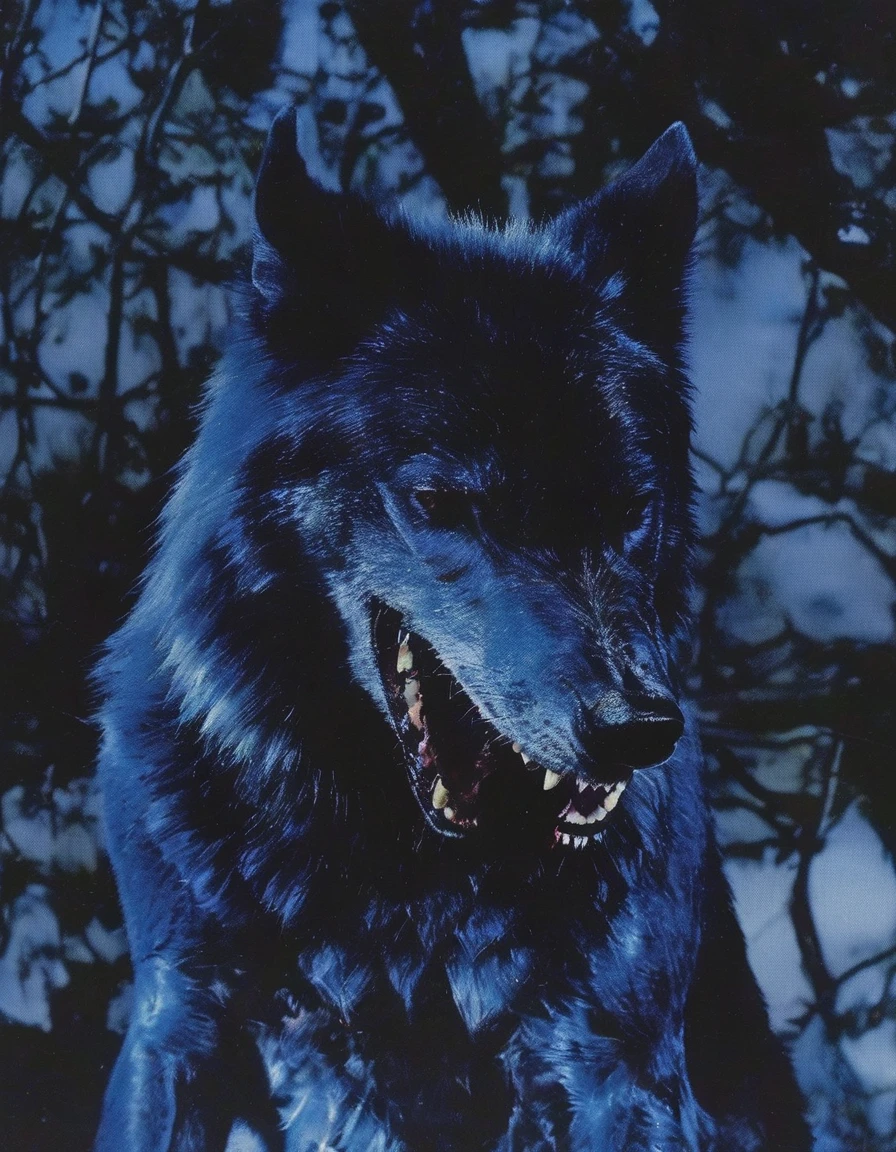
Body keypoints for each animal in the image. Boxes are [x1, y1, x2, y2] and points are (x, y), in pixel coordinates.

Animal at [94, 108, 811, 1151]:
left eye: (631, 508)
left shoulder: (615, 1063)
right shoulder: (178, 1018)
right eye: (438, 502)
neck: (400, 880)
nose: (638, 728)